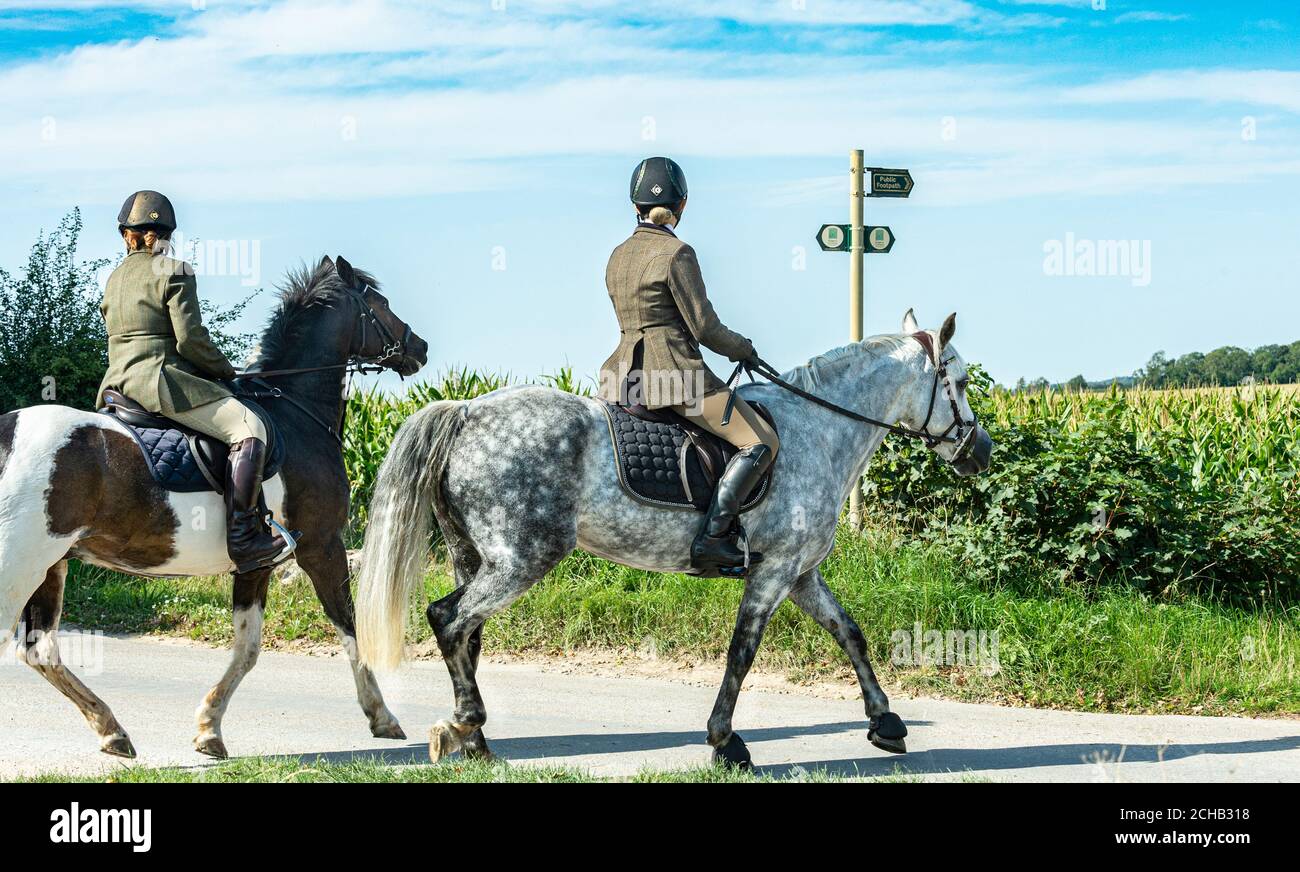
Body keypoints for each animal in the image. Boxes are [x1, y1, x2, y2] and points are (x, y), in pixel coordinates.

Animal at [0, 256, 428, 758]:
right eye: (380, 303)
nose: (419, 347)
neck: (296, 414)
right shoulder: (322, 545)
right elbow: (349, 627)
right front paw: (382, 715)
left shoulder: (257, 562)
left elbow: (248, 648)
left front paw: (209, 728)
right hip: (22, 562)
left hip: (51, 564)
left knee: (39, 649)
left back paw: (113, 730)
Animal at [361, 309, 987, 769]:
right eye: (957, 382)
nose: (979, 452)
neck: (819, 428)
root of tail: (466, 409)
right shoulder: (774, 570)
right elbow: (742, 652)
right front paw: (726, 743)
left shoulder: (800, 572)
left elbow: (850, 633)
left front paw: (886, 723)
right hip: (522, 557)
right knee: (448, 619)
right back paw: (463, 725)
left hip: (475, 555)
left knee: (467, 634)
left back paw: (477, 743)